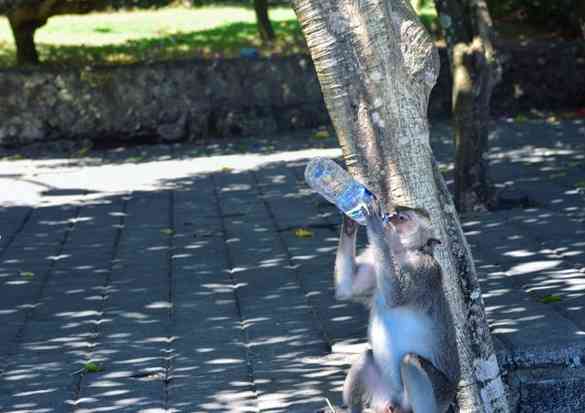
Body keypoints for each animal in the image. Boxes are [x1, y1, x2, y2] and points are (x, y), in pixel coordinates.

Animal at [336, 201, 458, 410]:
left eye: (404, 217)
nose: (392, 212)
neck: (401, 253)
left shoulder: (423, 269)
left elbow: (395, 296)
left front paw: (375, 224)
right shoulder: (373, 264)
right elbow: (347, 287)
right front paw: (350, 221)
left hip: (440, 394)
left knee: (410, 361)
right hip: (382, 393)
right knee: (366, 356)